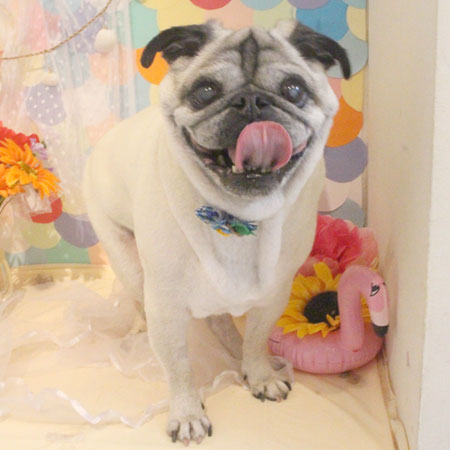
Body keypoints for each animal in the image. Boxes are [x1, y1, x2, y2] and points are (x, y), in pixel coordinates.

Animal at [83, 19, 349, 445]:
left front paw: (258, 374)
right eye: (205, 91)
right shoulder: (166, 306)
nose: (253, 102)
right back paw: (140, 327)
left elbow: (257, 338)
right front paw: (187, 413)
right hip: (126, 259)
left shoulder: (274, 294)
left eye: (293, 90)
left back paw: (232, 346)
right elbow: (178, 366)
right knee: (138, 296)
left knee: (220, 320)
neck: (238, 214)